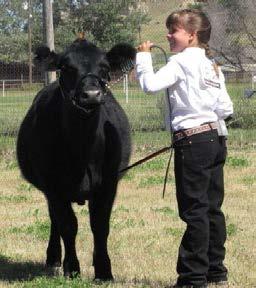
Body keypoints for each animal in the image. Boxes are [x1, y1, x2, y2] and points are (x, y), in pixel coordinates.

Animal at [16, 38, 135, 280]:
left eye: (105, 67)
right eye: (66, 68)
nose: (91, 94)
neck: (82, 148)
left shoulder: (108, 184)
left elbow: (100, 225)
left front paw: (103, 271)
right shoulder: (53, 187)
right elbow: (68, 225)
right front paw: (72, 268)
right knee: (54, 220)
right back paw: (53, 258)